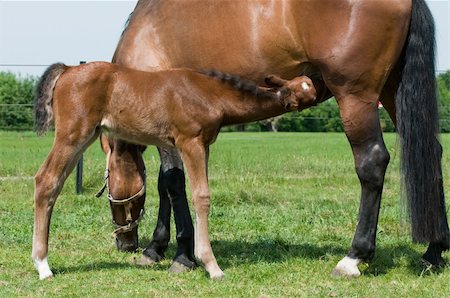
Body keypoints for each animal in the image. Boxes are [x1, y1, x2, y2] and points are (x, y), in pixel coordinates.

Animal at [31, 61, 316, 280]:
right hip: (72, 135)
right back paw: (43, 266)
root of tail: (68, 70)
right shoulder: (190, 142)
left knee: (54, 184)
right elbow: (201, 196)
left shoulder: (204, 145)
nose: (317, 96)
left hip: (86, 136)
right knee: (46, 180)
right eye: (305, 90)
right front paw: (211, 266)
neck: (210, 93)